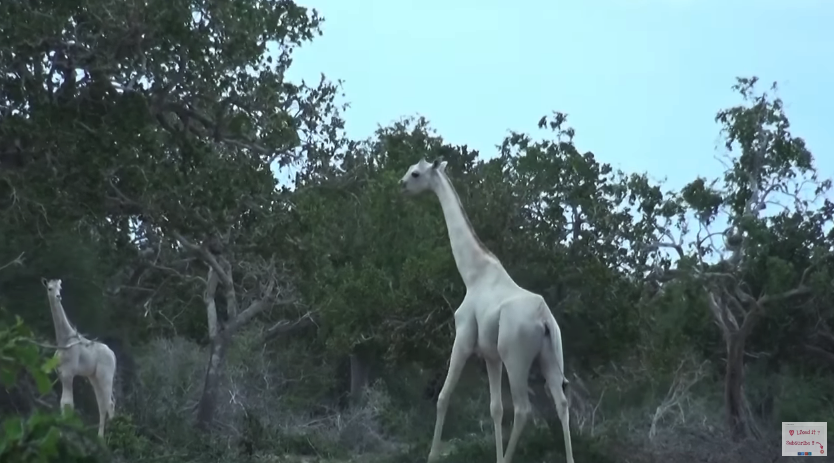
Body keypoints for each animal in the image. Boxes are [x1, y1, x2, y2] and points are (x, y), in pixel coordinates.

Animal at [42, 280, 116, 438]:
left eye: (60, 288)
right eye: (50, 288)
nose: (58, 296)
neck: (63, 340)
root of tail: (113, 354)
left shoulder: (69, 372)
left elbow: (68, 402)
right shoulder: (61, 373)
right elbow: (63, 402)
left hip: (106, 375)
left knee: (109, 402)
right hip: (94, 377)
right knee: (102, 404)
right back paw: (101, 437)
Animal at [398, 160, 572, 463]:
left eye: (416, 173)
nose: (402, 185)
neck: (473, 274)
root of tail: (544, 320)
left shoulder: (463, 340)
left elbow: (443, 396)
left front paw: (432, 455)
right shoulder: (491, 356)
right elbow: (496, 409)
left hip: (517, 357)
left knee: (523, 410)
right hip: (550, 356)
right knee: (561, 403)